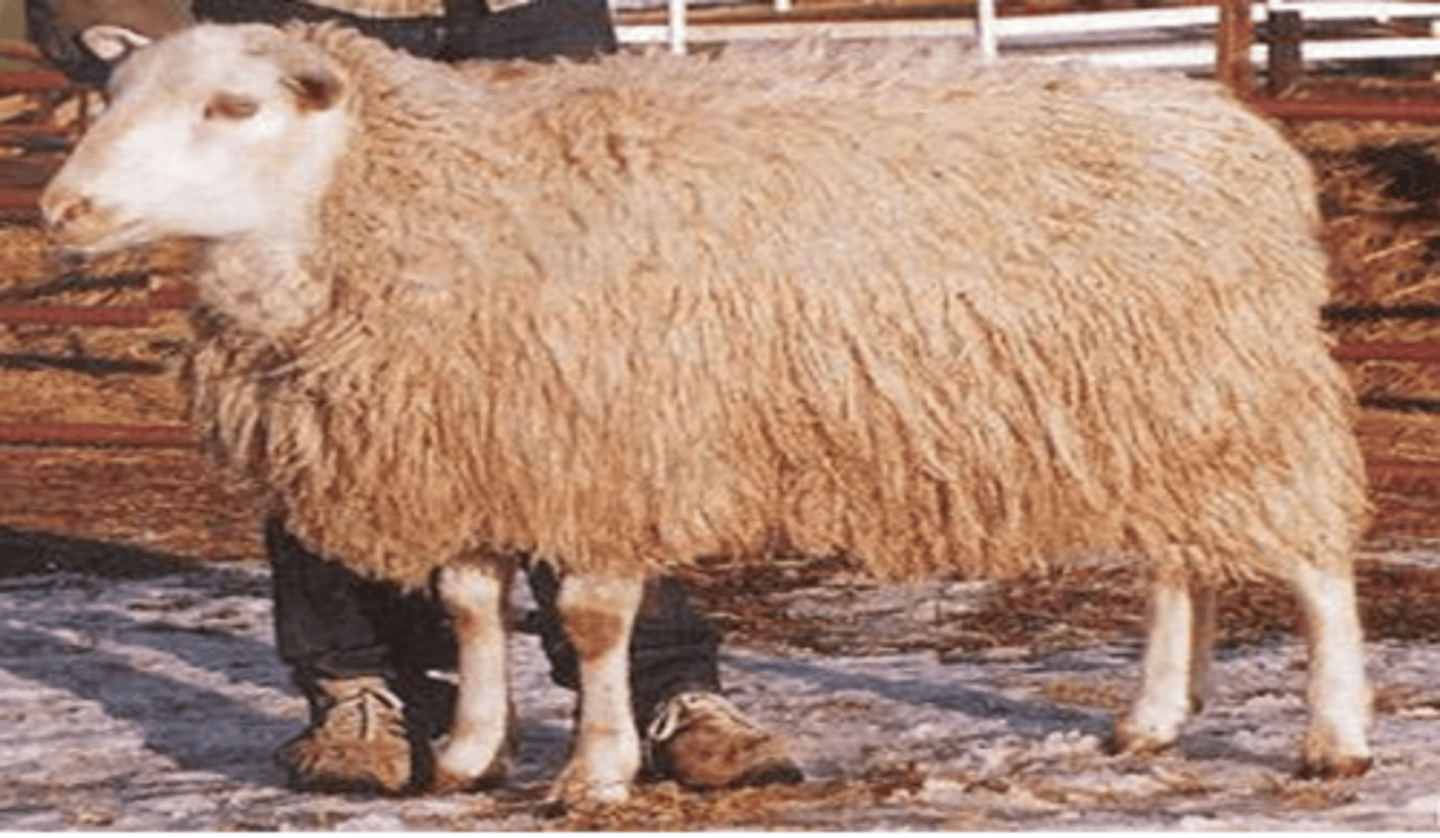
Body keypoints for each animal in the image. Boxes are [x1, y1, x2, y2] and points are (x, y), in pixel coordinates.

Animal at [41, 21, 1375, 804]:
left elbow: (588, 622)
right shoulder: (476, 438)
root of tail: (1236, 130)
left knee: (1313, 565)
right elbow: (470, 606)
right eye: (108, 92)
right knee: (1175, 563)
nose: (60, 210)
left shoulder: (605, 445)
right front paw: (468, 751)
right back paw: (1148, 719)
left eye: (233, 107)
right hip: (1157, 406)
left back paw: (1335, 734)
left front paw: (596, 769)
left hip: (1237, 394)